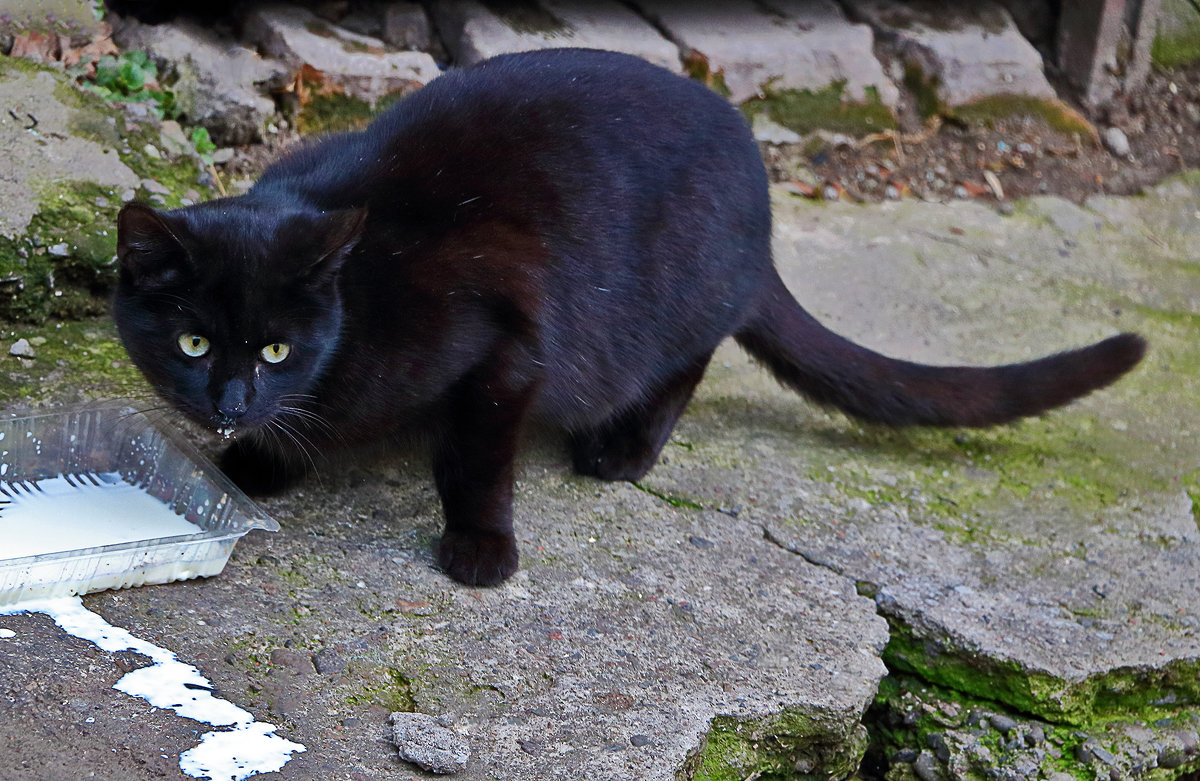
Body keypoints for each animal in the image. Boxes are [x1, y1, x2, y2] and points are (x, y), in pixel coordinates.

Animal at [117, 47, 1147, 585]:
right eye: (193, 341)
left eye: (276, 347)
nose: (229, 401)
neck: (364, 299)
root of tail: (760, 209)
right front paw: (268, 460)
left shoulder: (505, 345)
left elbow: (477, 457)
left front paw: (481, 547)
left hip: (669, 302)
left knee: (689, 358)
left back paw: (622, 450)